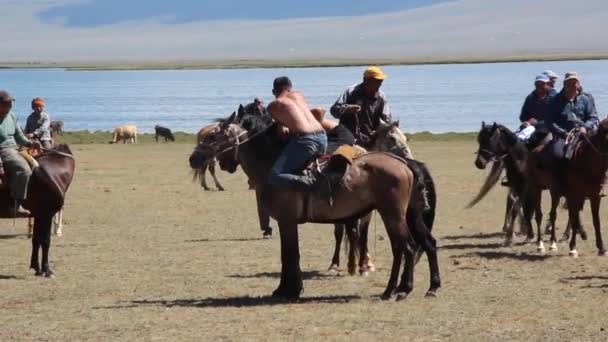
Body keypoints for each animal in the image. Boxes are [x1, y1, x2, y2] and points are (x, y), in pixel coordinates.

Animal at [0, 143, 75, 276]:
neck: (52, 173)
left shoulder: (38, 216)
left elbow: (36, 240)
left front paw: (37, 268)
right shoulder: (47, 214)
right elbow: (45, 241)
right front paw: (47, 270)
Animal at [188, 112, 440, 300]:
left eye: (213, 137)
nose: (193, 158)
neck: (273, 163)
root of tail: (404, 164)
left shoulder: (288, 221)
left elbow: (290, 255)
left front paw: (289, 290)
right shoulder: (288, 222)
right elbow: (290, 254)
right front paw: (286, 289)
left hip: (392, 214)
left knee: (406, 247)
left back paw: (399, 290)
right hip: (408, 215)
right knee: (420, 244)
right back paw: (421, 288)